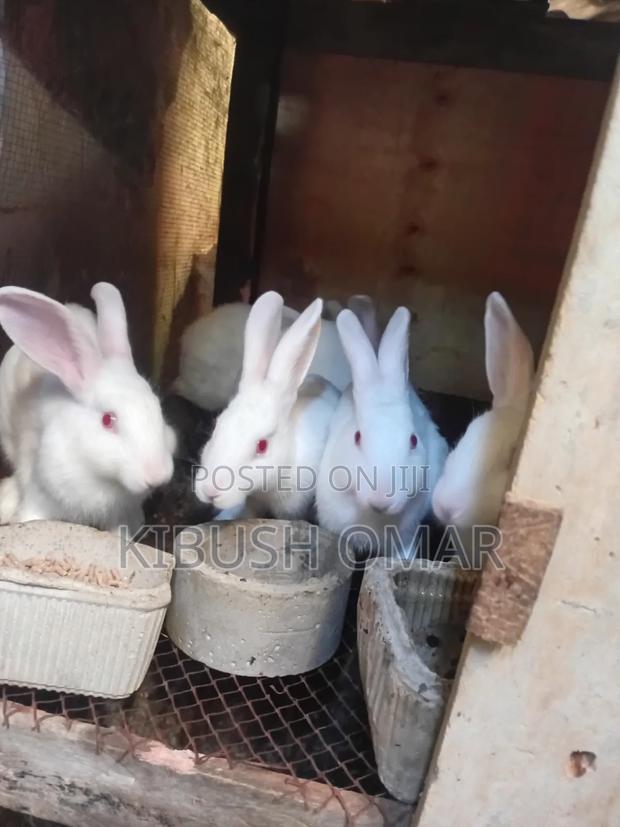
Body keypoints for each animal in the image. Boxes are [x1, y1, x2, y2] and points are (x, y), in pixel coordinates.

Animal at [0, 282, 176, 534]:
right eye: (107, 419)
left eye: (158, 409)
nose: (157, 475)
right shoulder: (40, 497)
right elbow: (30, 517)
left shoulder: (122, 516)